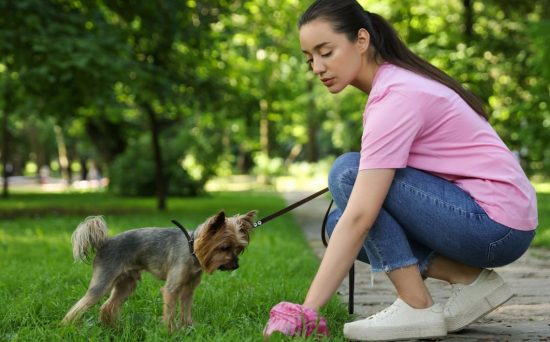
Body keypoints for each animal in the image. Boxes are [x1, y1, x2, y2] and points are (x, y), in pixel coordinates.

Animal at [62, 211, 256, 332]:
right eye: (224, 248)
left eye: (239, 249)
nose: (236, 265)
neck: (191, 247)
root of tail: (104, 243)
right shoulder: (172, 288)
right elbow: (169, 312)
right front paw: (171, 332)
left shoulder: (188, 289)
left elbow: (186, 309)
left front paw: (188, 327)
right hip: (103, 282)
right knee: (80, 306)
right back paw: (67, 327)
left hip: (127, 284)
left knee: (107, 306)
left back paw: (112, 329)